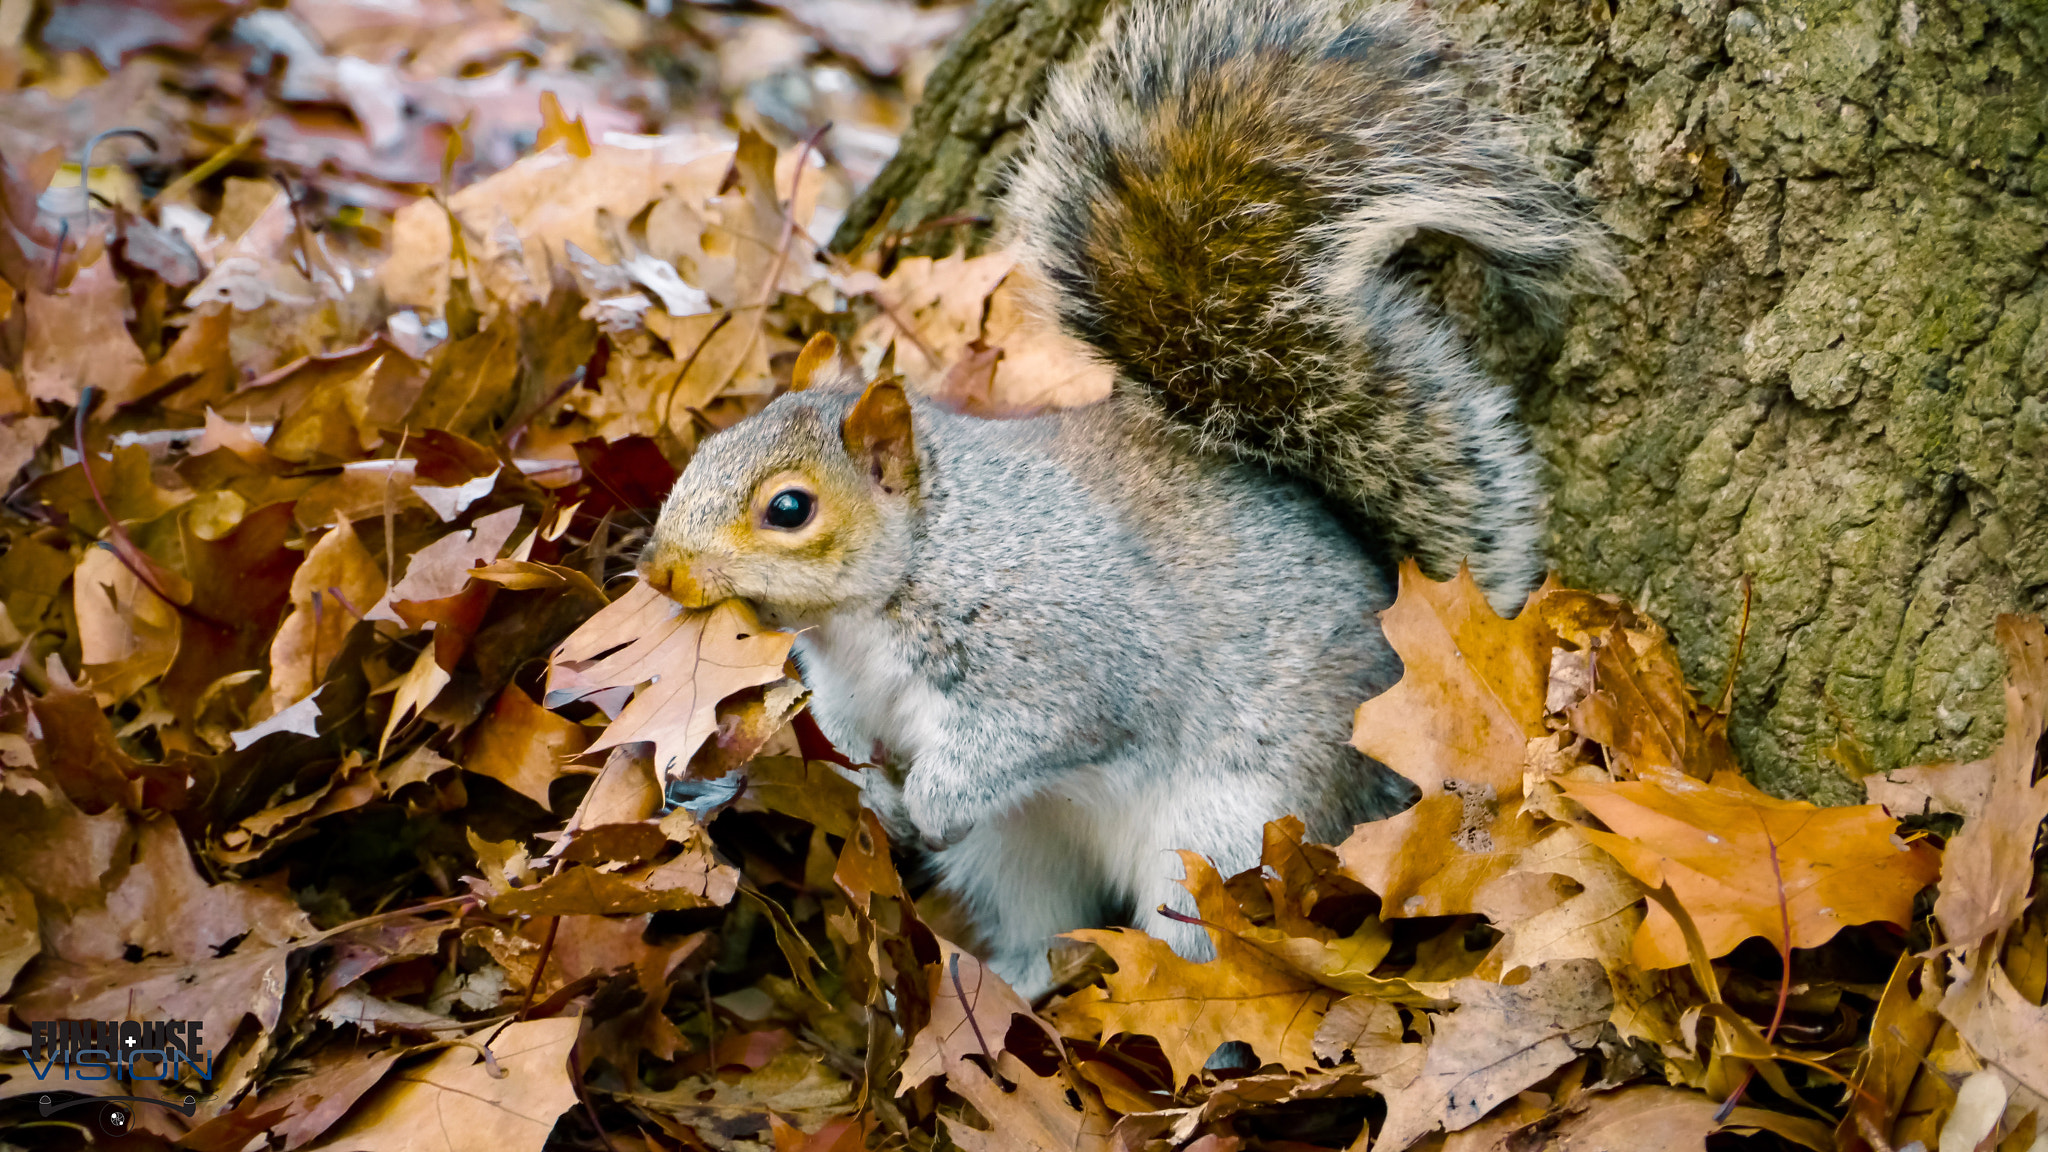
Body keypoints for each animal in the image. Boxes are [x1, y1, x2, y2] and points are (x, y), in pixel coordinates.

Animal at [643, 0, 1613, 992]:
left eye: (789, 509)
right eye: (706, 447)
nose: (661, 571)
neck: (912, 571)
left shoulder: (1060, 649)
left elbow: (1037, 729)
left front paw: (929, 800)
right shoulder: (849, 687)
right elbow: (847, 733)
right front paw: (871, 786)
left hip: (1226, 832)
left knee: (1195, 935)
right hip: (1024, 849)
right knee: (1033, 911)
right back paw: (1018, 983)